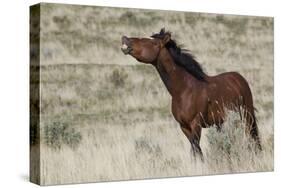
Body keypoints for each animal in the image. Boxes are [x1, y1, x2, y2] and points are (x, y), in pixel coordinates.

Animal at [120, 28, 260, 160]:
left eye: (152, 42)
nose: (125, 39)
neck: (184, 90)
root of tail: (239, 78)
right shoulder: (184, 126)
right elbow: (195, 151)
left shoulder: (195, 124)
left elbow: (196, 149)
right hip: (221, 122)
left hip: (247, 116)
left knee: (252, 138)